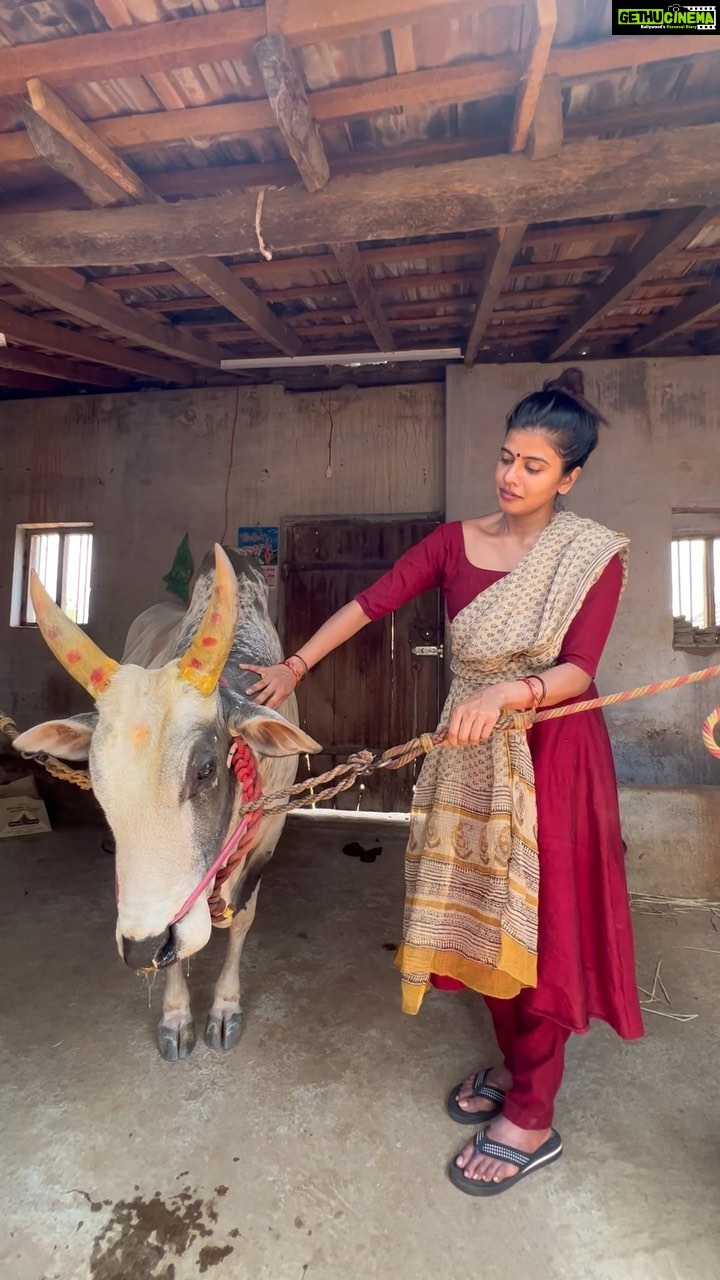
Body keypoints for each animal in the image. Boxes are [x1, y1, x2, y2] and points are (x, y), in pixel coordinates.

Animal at [12, 547, 320, 1059]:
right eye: (98, 782)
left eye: (205, 770)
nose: (142, 947)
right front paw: (176, 1016)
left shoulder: (268, 837)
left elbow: (241, 918)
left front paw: (224, 1008)